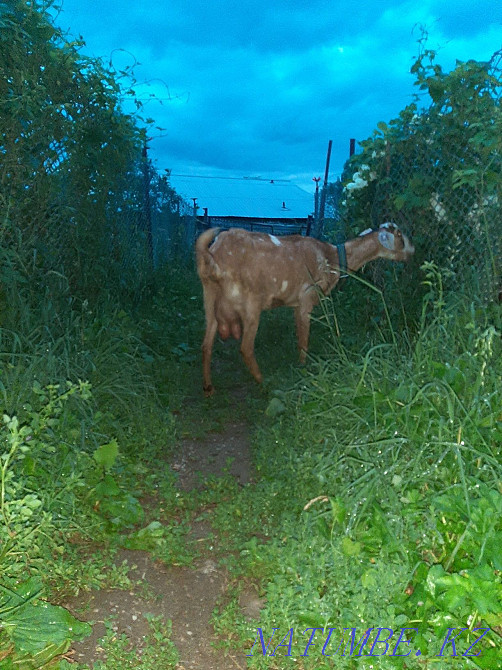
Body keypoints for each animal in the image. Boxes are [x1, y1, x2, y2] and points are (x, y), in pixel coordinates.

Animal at [196, 223, 414, 395]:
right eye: (400, 236)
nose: (413, 252)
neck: (333, 257)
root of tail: (214, 257)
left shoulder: (296, 305)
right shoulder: (307, 298)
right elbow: (304, 341)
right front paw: (303, 368)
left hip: (209, 299)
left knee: (206, 345)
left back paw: (208, 387)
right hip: (251, 304)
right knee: (246, 348)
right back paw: (264, 382)